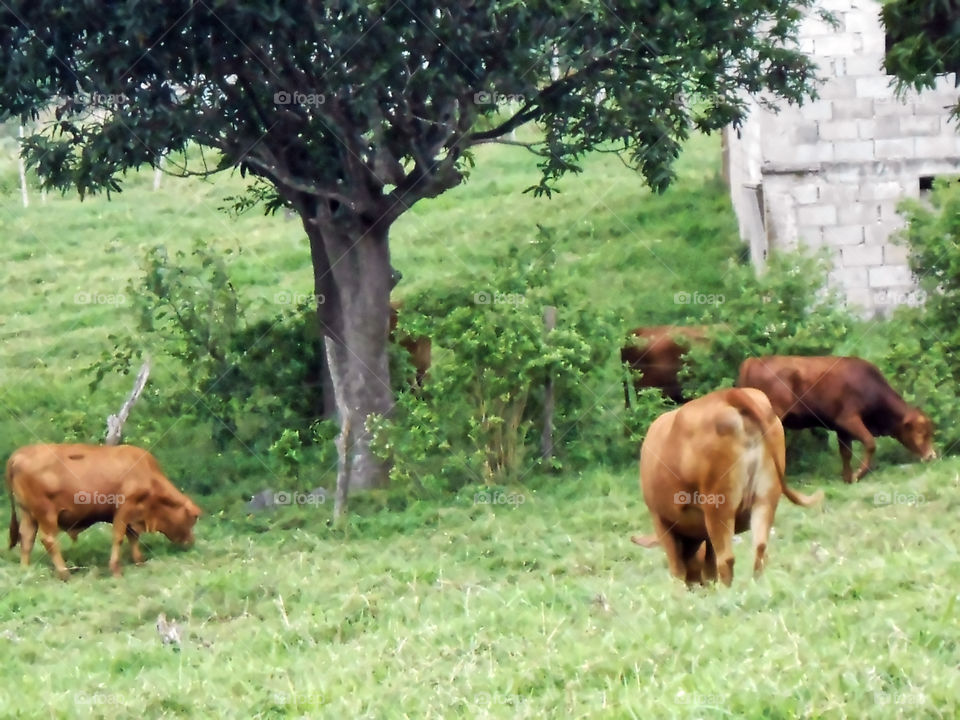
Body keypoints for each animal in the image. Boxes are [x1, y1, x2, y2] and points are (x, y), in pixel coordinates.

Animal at [6, 442, 202, 584]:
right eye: (193, 518)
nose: (192, 541)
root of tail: (20, 453)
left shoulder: (132, 516)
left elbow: (133, 536)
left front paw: (139, 560)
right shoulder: (125, 508)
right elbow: (119, 537)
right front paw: (116, 570)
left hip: (28, 514)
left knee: (27, 538)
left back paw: (25, 570)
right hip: (46, 514)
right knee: (48, 540)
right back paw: (64, 573)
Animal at [632, 388, 824, 584]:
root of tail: (729, 394)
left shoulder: (661, 520)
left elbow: (678, 570)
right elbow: (709, 566)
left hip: (719, 506)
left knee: (726, 559)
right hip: (765, 498)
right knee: (760, 551)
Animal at [736, 356, 936, 484]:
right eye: (920, 431)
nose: (931, 455)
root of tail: (752, 361)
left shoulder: (841, 429)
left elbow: (846, 453)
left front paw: (847, 477)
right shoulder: (849, 420)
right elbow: (870, 443)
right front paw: (858, 475)